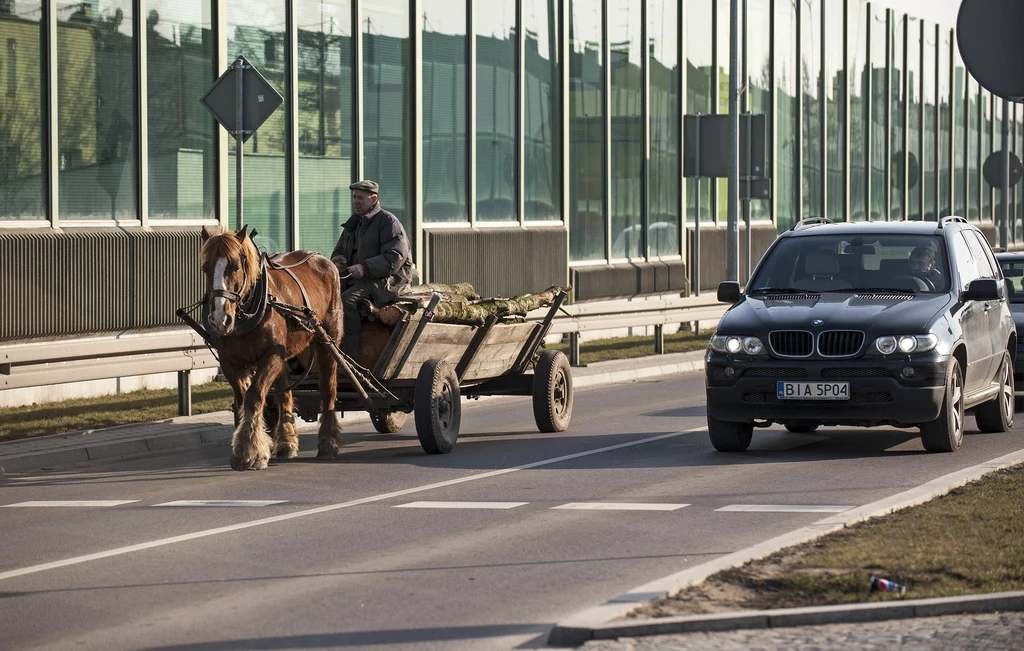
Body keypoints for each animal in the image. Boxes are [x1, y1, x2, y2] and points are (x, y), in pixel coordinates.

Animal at [199, 226, 344, 470]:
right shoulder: (230, 363)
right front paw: (251, 448)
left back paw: (328, 442)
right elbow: (244, 399)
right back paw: (286, 443)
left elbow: (254, 395)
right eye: (205, 267)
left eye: (235, 266)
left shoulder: (271, 356)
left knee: (328, 390)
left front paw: (248, 451)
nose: (220, 319)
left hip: (327, 340)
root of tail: (323, 259)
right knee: (285, 394)